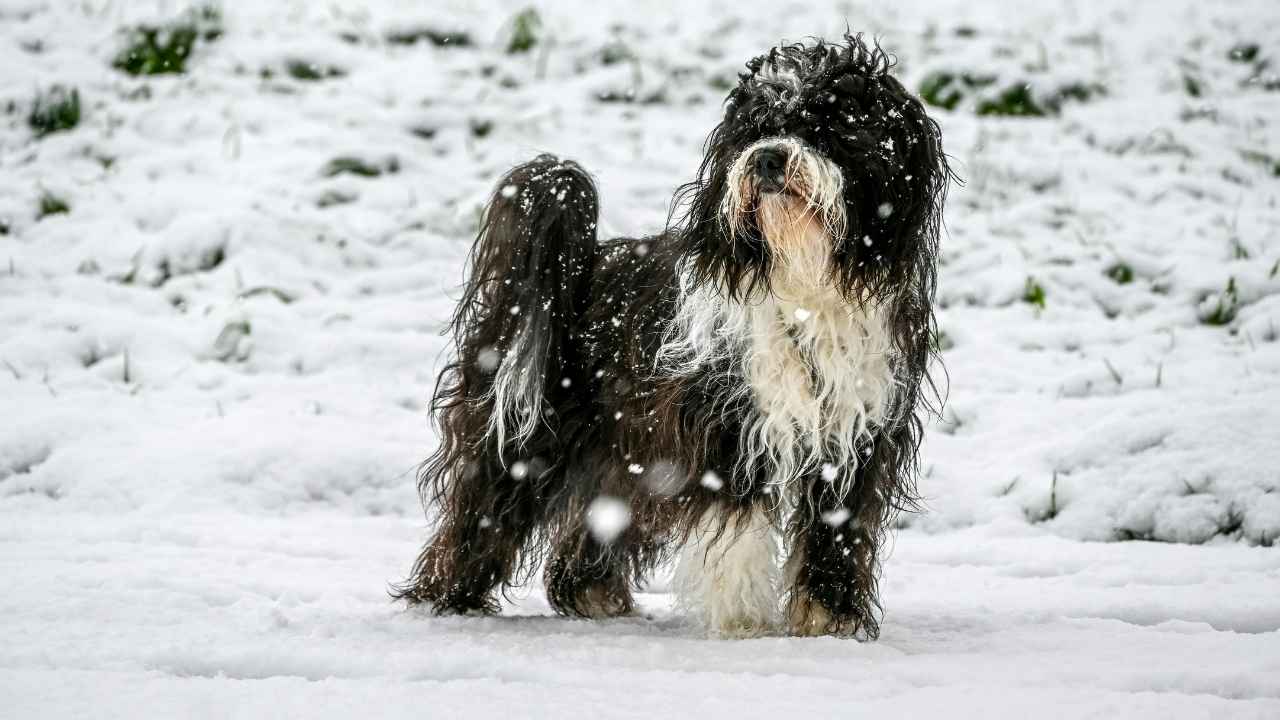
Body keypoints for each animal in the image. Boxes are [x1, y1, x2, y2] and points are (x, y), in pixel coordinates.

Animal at [391, 35, 952, 638]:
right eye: (755, 128)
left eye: (827, 127)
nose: (768, 158)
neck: (803, 282)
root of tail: (578, 264)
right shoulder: (727, 424)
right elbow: (738, 526)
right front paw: (744, 622)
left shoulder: (858, 430)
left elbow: (838, 525)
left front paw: (828, 620)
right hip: (528, 426)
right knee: (484, 501)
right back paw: (447, 599)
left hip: (625, 447)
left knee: (604, 513)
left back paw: (590, 595)